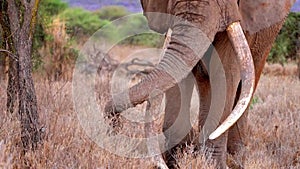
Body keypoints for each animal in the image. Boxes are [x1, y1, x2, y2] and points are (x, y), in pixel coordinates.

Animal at [105, 0, 296, 168]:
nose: (114, 126)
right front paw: (179, 160)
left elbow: (224, 71)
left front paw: (212, 164)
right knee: (204, 80)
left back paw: (235, 160)